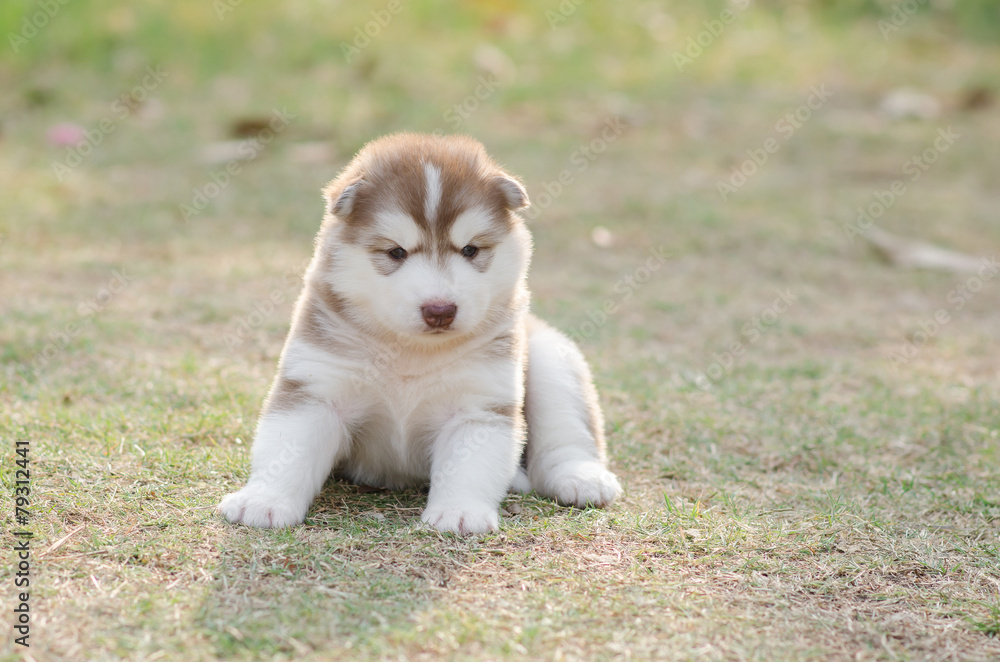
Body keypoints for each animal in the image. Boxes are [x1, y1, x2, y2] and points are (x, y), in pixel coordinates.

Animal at [219, 134, 620, 536]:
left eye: (470, 249)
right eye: (396, 252)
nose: (439, 310)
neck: (410, 352)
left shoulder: (479, 404)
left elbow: (469, 465)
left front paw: (460, 511)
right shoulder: (316, 389)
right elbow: (288, 451)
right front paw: (264, 500)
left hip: (553, 358)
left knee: (565, 436)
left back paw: (581, 478)